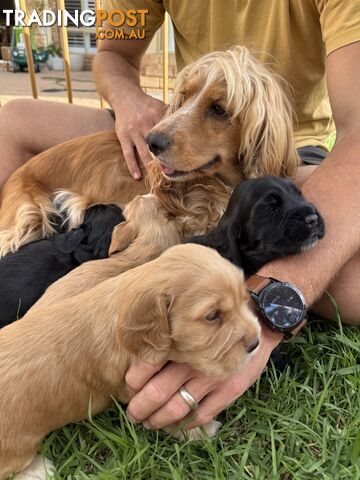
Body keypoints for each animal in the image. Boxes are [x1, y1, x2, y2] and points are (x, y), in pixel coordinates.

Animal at [0, 246, 258, 478]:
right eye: (212, 316)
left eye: (244, 297)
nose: (256, 343)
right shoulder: (133, 389)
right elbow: (179, 417)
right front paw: (201, 430)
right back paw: (38, 469)